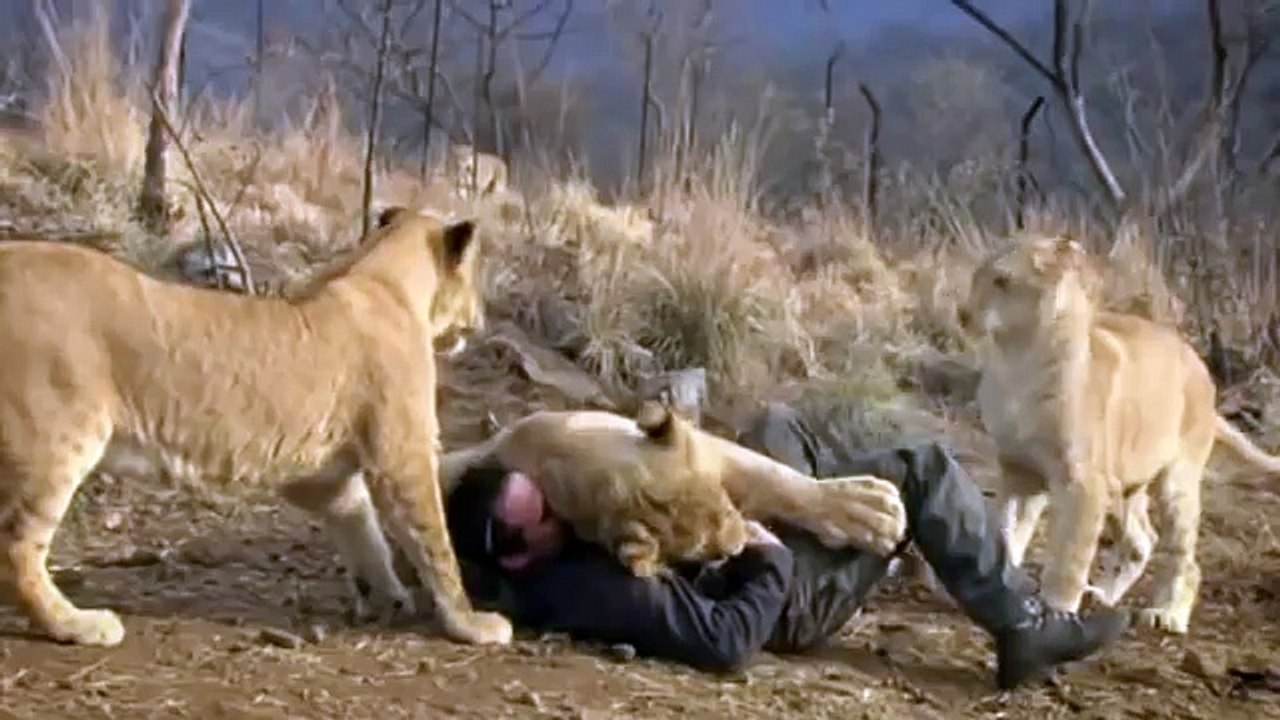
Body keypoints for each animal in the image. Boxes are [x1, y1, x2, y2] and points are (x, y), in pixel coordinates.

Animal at [0, 206, 511, 648]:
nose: (483, 319)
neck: (380, 273)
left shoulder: (319, 476)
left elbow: (363, 529)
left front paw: (388, 596)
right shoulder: (402, 455)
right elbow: (434, 543)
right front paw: (471, 622)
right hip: (58, 439)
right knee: (17, 549)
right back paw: (78, 624)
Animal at [437, 403, 910, 579]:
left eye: (724, 500)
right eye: (698, 553)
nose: (735, 545)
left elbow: (776, 478)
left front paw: (869, 507)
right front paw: (876, 512)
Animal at [958, 234, 1280, 634]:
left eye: (1001, 281)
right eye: (976, 275)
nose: (963, 314)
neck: (1018, 361)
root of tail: (1203, 373)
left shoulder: (1083, 483)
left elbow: (1069, 555)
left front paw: (1058, 609)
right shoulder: (1019, 472)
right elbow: (1006, 534)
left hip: (1174, 482)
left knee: (1184, 558)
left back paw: (1167, 615)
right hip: (1122, 486)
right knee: (1142, 541)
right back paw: (1104, 596)